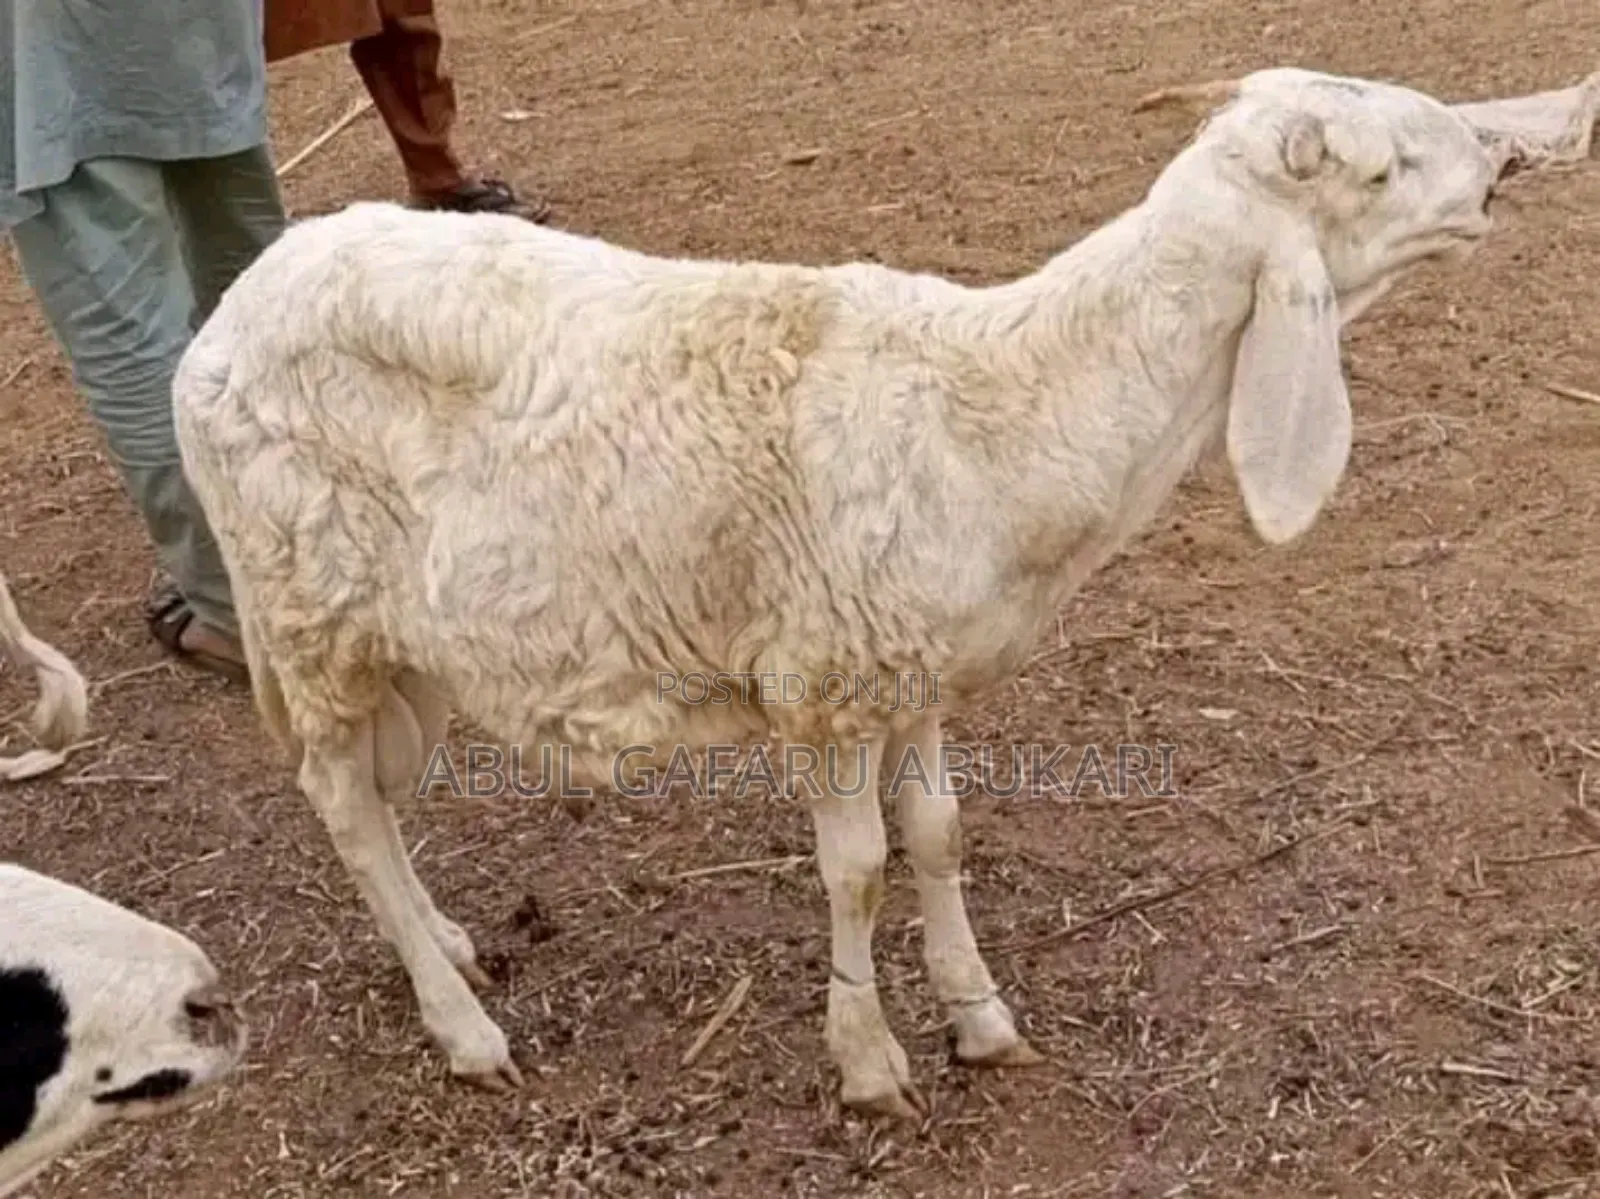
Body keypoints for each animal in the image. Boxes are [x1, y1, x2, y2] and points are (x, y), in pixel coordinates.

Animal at [171, 65, 1521, 1119]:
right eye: (1384, 170)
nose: (1503, 164)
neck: (1003, 407)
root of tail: (226, 318)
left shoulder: (910, 671)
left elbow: (939, 834)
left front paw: (980, 1016)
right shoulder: (824, 679)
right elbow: (858, 870)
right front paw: (869, 1061)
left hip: (390, 637)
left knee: (375, 803)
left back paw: (445, 943)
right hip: (308, 608)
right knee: (342, 803)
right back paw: (462, 1028)